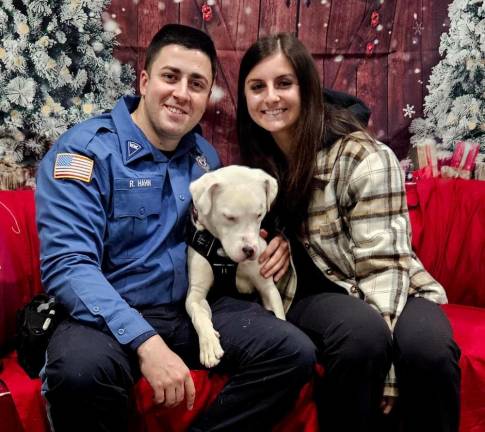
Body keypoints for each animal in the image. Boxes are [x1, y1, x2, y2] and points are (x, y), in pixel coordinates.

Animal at [184, 165, 284, 368]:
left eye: (259, 215)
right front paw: (209, 344)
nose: (249, 250)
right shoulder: (196, 295)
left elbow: (279, 313)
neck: (225, 256)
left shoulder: (267, 287)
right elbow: (199, 315)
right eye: (229, 217)